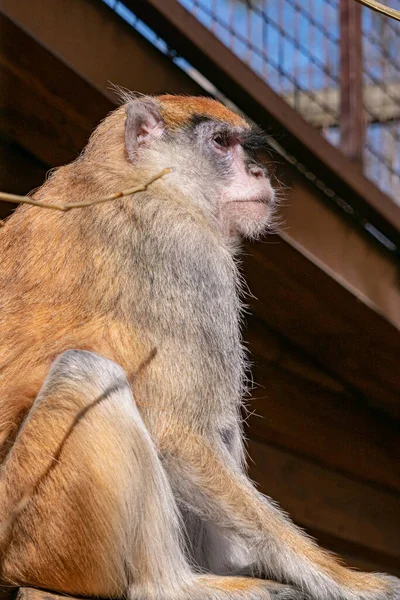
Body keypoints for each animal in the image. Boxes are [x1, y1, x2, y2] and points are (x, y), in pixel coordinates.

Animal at [0, 94, 396, 600]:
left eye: (244, 147)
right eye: (221, 143)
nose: (258, 172)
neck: (130, 174)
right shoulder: (187, 252)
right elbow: (180, 435)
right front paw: (348, 581)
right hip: (42, 529)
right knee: (86, 373)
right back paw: (176, 585)